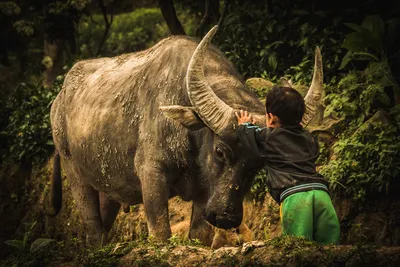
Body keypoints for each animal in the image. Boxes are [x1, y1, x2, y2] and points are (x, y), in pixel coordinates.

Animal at [47, 26, 322, 246]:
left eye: (258, 164)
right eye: (220, 151)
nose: (226, 217)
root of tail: (59, 99)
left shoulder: (205, 192)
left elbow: (199, 235)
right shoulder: (151, 173)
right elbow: (160, 232)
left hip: (109, 187)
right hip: (74, 171)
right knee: (92, 226)